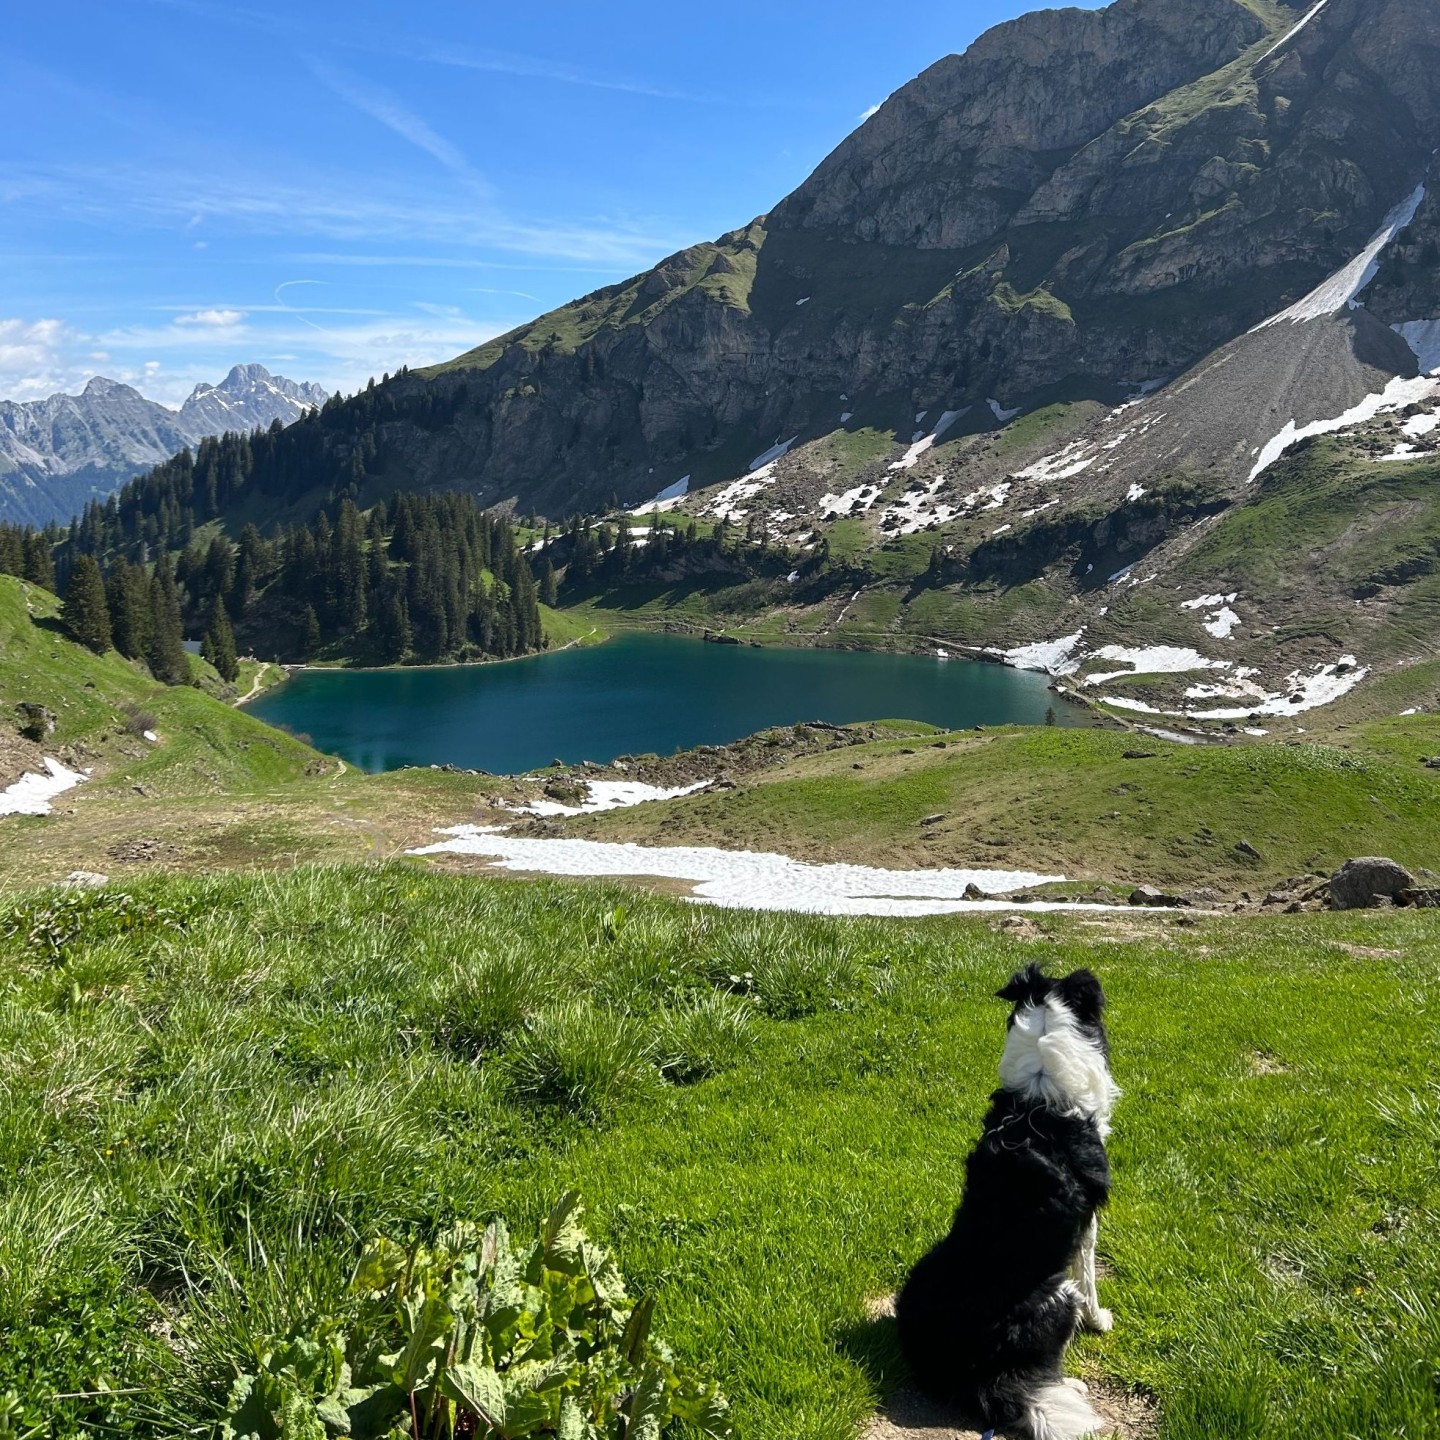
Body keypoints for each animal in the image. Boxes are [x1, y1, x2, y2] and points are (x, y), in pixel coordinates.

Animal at [892, 967, 1117, 1440]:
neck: (1038, 1100)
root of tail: (971, 1376)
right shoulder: (1087, 1225)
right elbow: (1089, 1274)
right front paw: (1100, 1320)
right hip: (1058, 1294)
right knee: (1038, 1376)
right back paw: (1071, 1384)